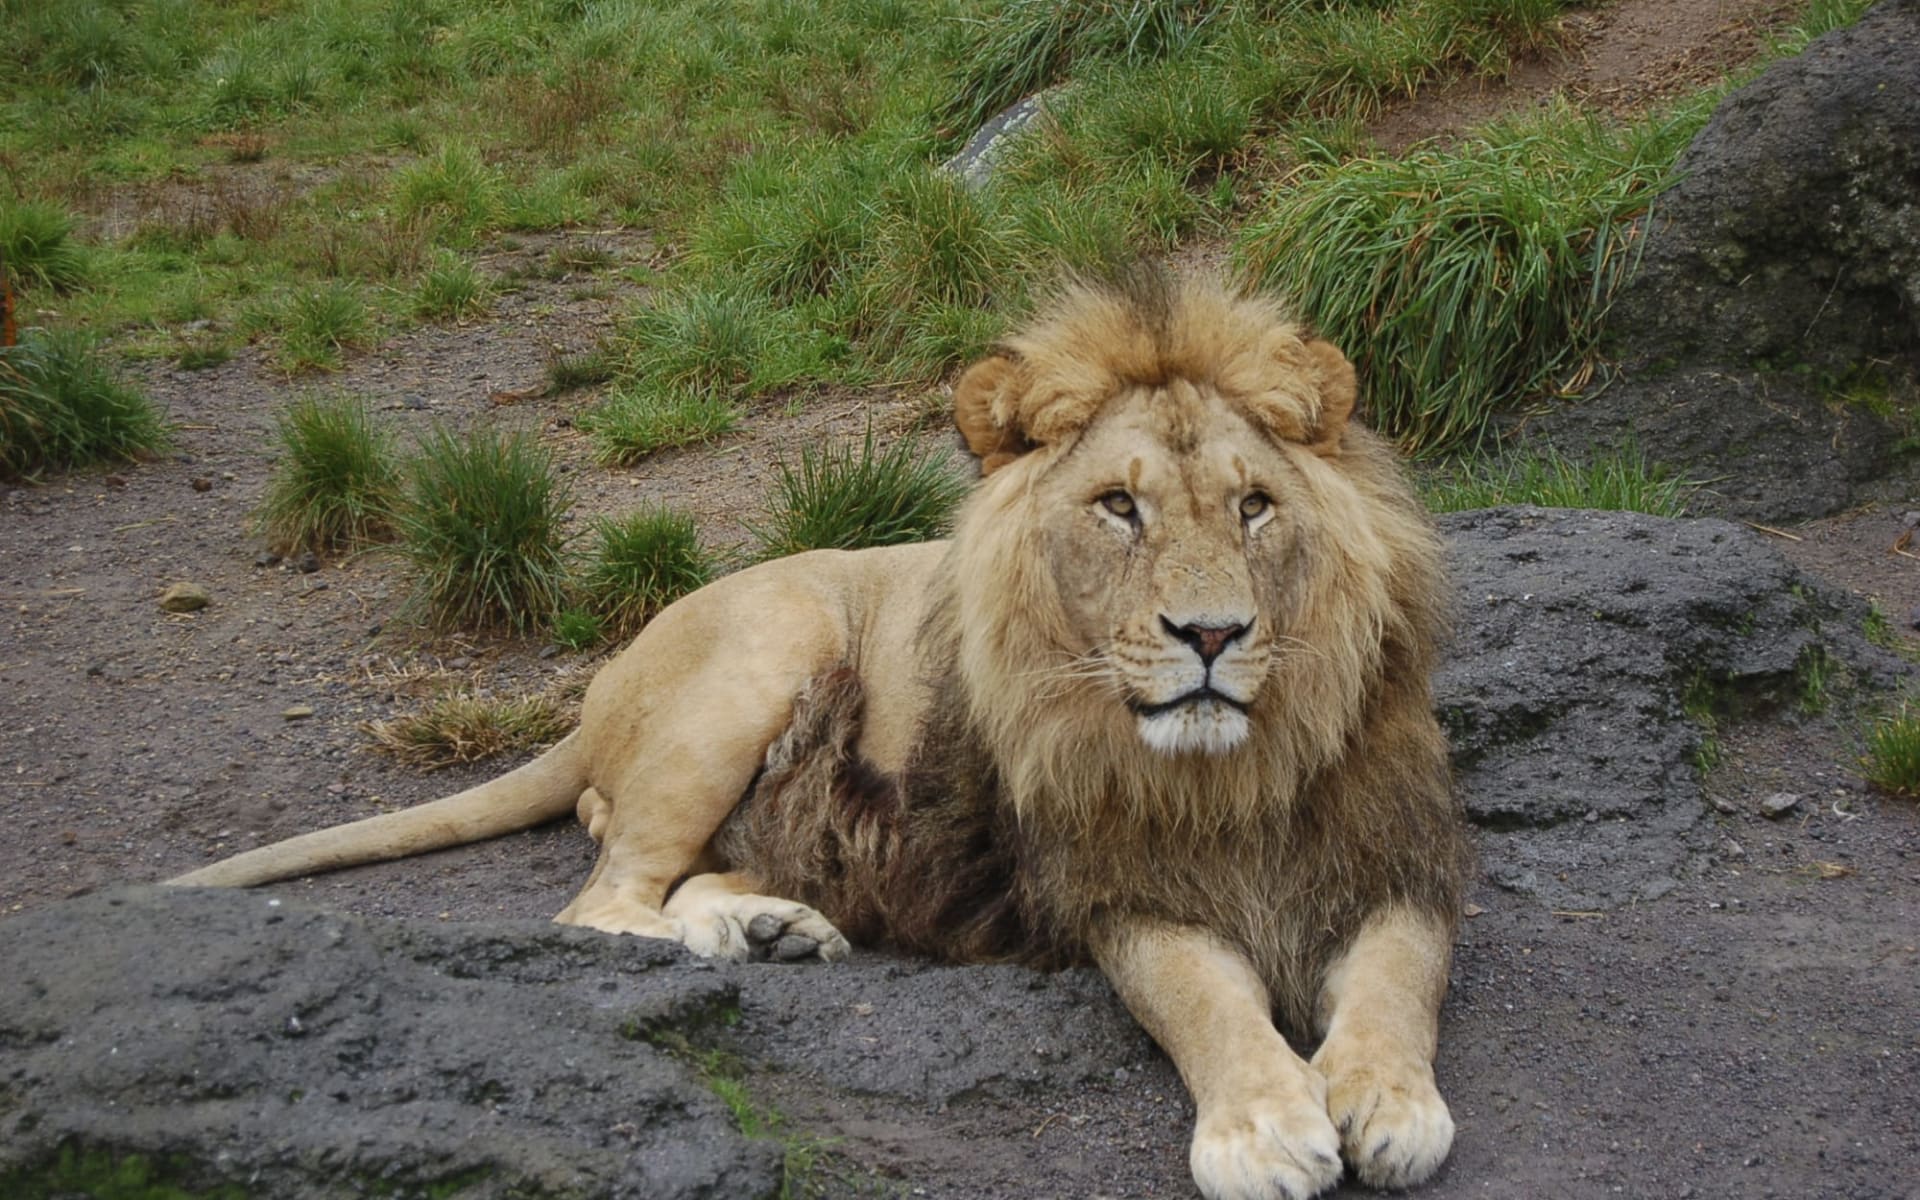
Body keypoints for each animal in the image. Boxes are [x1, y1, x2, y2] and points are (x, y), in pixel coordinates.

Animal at [170, 269, 1469, 1200]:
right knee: (602, 904)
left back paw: (774, 925)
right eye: (1118, 507)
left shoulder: (1397, 854)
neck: (1234, 770)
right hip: (769, 650)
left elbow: (1401, 977)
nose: (1210, 633)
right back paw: (720, 939)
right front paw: (1266, 1126)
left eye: (1254, 506)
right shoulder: (1115, 888)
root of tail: (598, 688)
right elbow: (1202, 997)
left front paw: (1388, 1100)